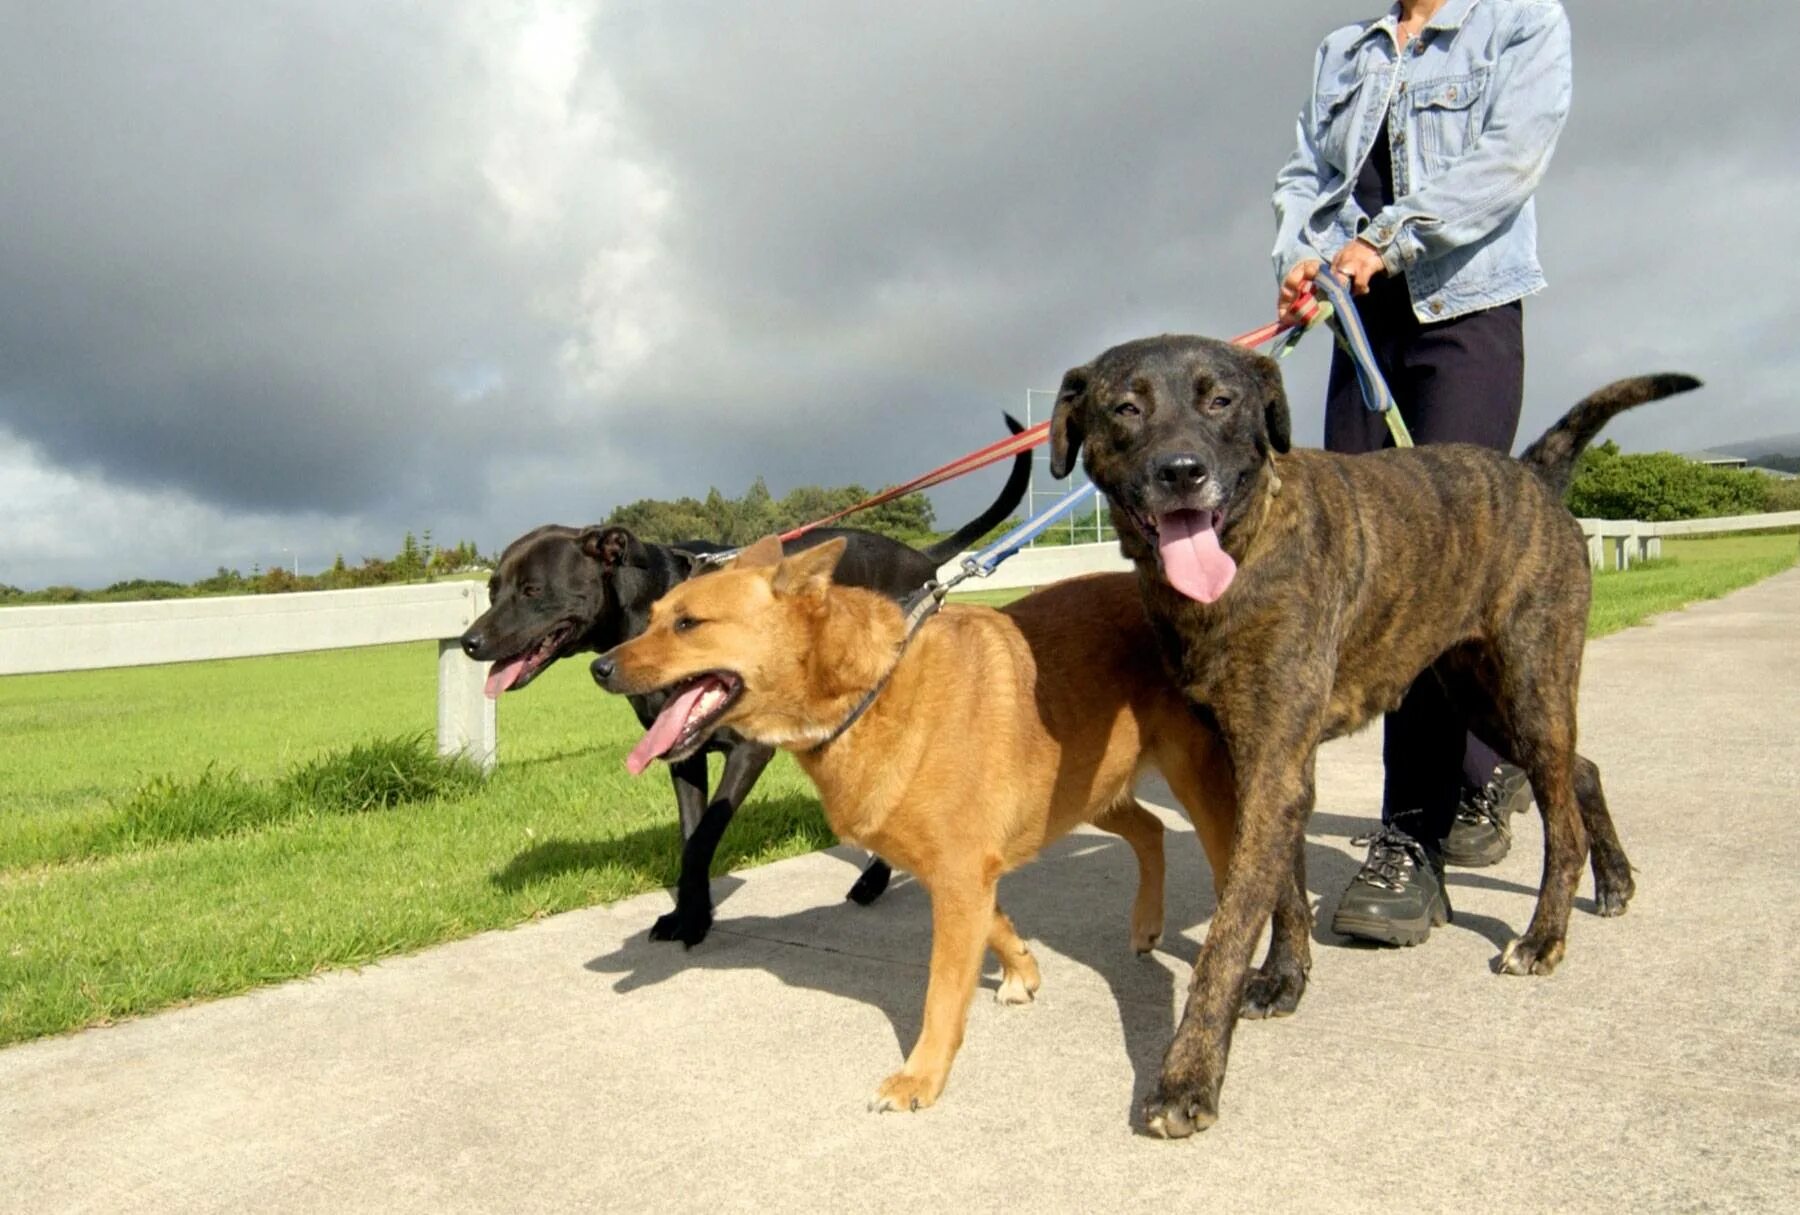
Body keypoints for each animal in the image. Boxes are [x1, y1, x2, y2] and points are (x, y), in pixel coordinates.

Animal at [457, 423, 1036, 943]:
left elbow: (706, 834)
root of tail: (922, 559)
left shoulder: (750, 748)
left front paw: (694, 921)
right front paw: (689, 913)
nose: (468, 642)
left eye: (533, 590)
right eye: (492, 588)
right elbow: (690, 837)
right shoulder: (682, 752)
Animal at [594, 536, 1238, 1116]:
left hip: (1195, 785)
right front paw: (1022, 970)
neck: (872, 688)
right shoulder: (959, 873)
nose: (599, 667)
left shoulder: (959, 876)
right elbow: (995, 925)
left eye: (688, 623)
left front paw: (921, 1077)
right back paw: (1146, 924)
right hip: (1092, 792)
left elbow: (942, 993)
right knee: (1151, 830)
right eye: (653, 616)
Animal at [1051, 334, 1692, 1137]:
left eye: (1220, 400)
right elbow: (1282, 892)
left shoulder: (1274, 762)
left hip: (1530, 684)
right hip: (1485, 700)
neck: (1242, 552)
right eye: (1125, 408)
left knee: (1563, 818)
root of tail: (1532, 473)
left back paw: (1546, 936)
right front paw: (1284, 979)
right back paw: (1615, 880)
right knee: (1583, 769)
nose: (1181, 472)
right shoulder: (1253, 767)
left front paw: (1187, 1076)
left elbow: (1228, 933)